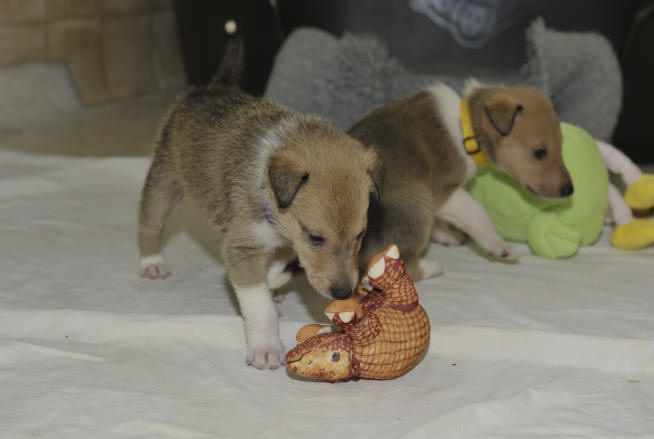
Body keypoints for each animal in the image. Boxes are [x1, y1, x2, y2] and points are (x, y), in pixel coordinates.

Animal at [138, 22, 381, 370]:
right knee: (150, 221)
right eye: (316, 238)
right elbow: (259, 303)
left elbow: (275, 269)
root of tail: (211, 86)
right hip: (165, 177)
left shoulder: (280, 242)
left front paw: (276, 286)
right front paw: (266, 348)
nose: (342, 292)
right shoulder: (242, 248)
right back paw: (151, 262)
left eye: (360, 235)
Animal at [350, 81, 573, 281]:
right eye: (539, 152)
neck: (466, 130)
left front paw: (445, 234)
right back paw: (432, 267)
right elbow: (479, 213)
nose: (569, 190)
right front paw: (500, 246)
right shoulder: (444, 193)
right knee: (408, 267)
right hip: (417, 209)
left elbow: (443, 221)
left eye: (562, 146)